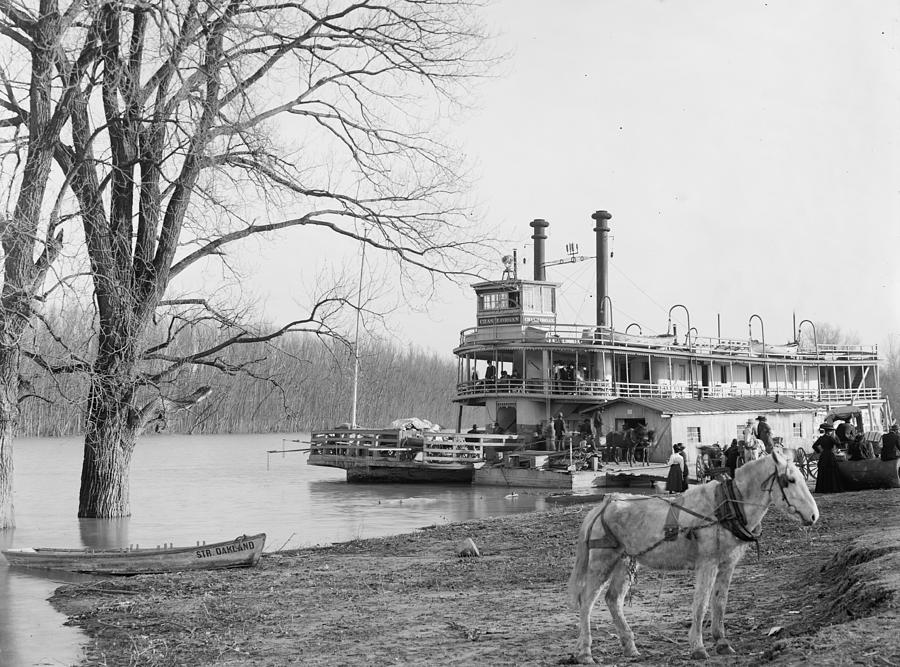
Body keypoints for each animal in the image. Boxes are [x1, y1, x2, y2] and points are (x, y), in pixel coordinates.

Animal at [568, 452, 816, 660]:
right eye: (789, 480)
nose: (814, 515)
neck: (725, 506)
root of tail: (603, 506)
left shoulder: (727, 564)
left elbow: (720, 602)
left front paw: (722, 642)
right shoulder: (708, 563)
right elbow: (702, 603)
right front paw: (698, 646)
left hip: (626, 561)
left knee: (613, 599)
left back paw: (629, 646)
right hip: (602, 561)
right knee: (587, 601)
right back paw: (585, 651)